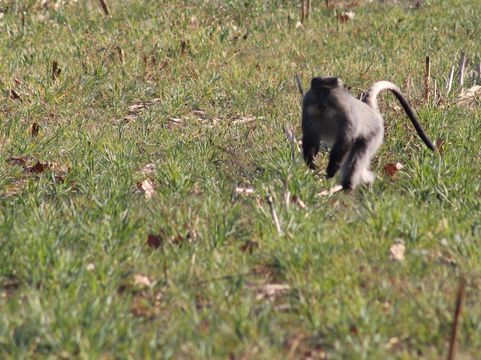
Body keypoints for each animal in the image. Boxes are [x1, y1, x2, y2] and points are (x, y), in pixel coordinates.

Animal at [302, 76, 436, 191]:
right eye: (317, 91)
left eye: (327, 90)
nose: (320, 102)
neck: (326, 113)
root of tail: (370, 109)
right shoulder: (307, 110)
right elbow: (310, 138)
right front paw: (310, 161)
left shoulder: (347, 114)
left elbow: (345, 140)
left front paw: (331, 168)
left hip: (375, 133)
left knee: (356, 158)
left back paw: (349, 186)